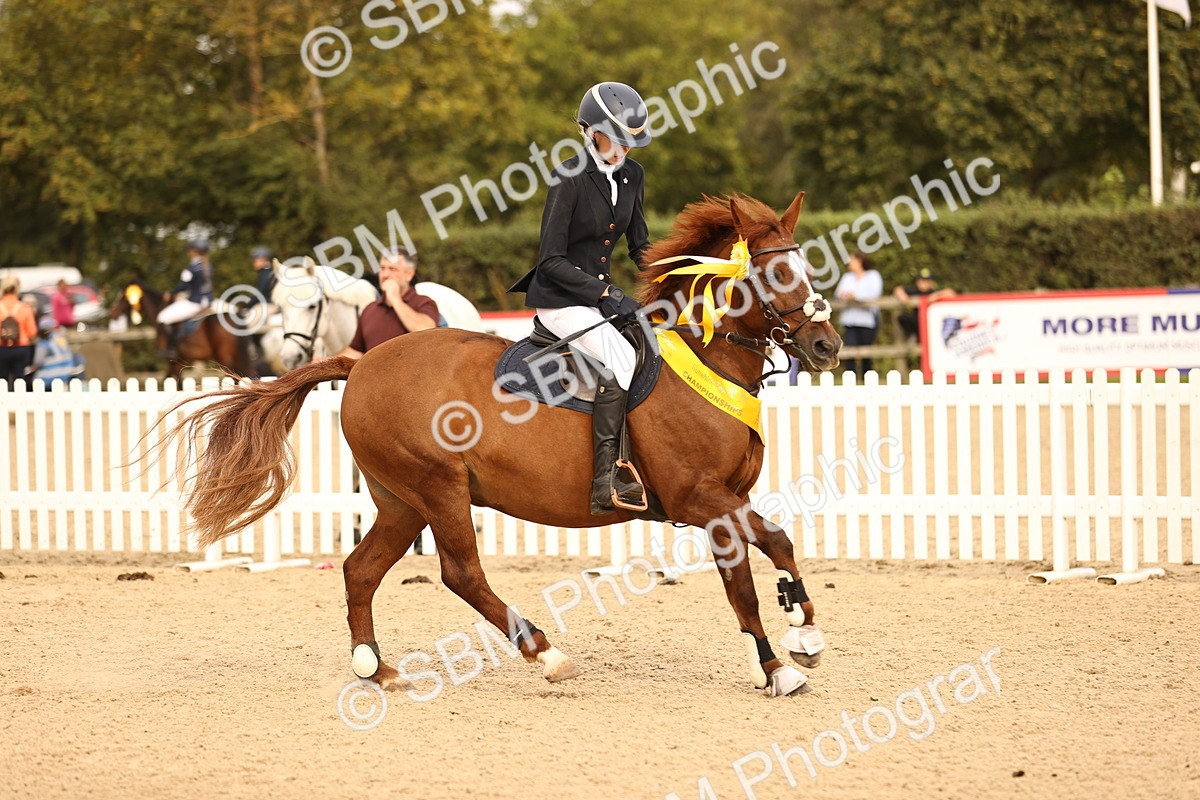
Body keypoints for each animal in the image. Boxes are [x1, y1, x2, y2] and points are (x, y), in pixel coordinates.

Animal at [109, 279, 255, 381]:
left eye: (123, 296)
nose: (113, 312)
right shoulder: (178, 363)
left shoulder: (174, 363)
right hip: (236, 357)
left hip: (225, 359)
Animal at [161, 192, 842, 698]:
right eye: (775, 272)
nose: (827, 346)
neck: (707, 359)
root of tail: (361, 364)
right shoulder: (698, 498)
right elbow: (758, 566)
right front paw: (785, 656)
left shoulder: (722, 501)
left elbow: (764, 559)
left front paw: (794, 640)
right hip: (439, 487)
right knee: (460, 572)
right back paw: (546, 654)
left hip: (401, 500)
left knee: (361, 569)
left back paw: (377, 668)